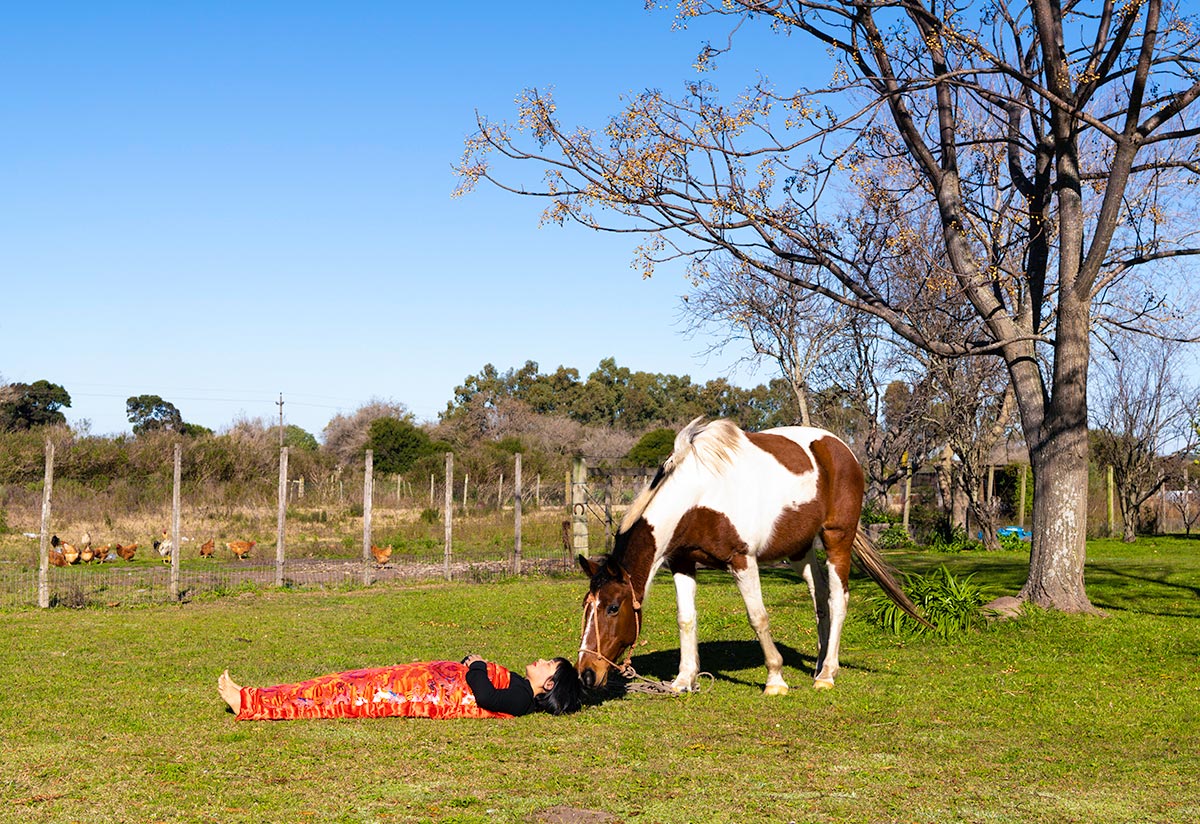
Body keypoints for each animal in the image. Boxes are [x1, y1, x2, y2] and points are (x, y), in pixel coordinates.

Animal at [578, 419, 926, 695]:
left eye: (613, 608)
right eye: (586, 607)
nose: (586, 673)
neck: (698, 497)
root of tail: (841, 449)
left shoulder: (742, 560)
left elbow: (758, 617)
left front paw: (776, 680)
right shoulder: (682, 562)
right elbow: (686, 619)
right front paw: (684, 680)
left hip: (837, 539)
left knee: (837, 600)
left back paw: (827, 674)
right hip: (800, 551)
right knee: (820, 598)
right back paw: (818, 666)